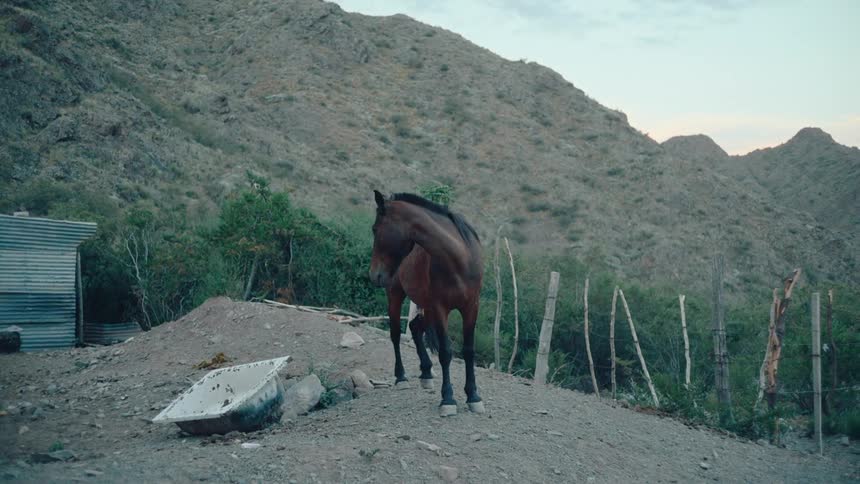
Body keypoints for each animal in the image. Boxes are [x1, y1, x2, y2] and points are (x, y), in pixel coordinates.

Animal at [369, 190, 485, 417]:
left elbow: (468, 351)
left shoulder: (471, 308)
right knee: (395, 334)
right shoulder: (440, 309)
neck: (459, 260)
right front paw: (448, 399)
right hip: (396, 295)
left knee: (415, 327)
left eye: (375, 229)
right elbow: (446, 352)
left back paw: (426, 373)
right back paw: (401, 377)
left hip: (427, 307)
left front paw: (473, 396)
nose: (374, 275)